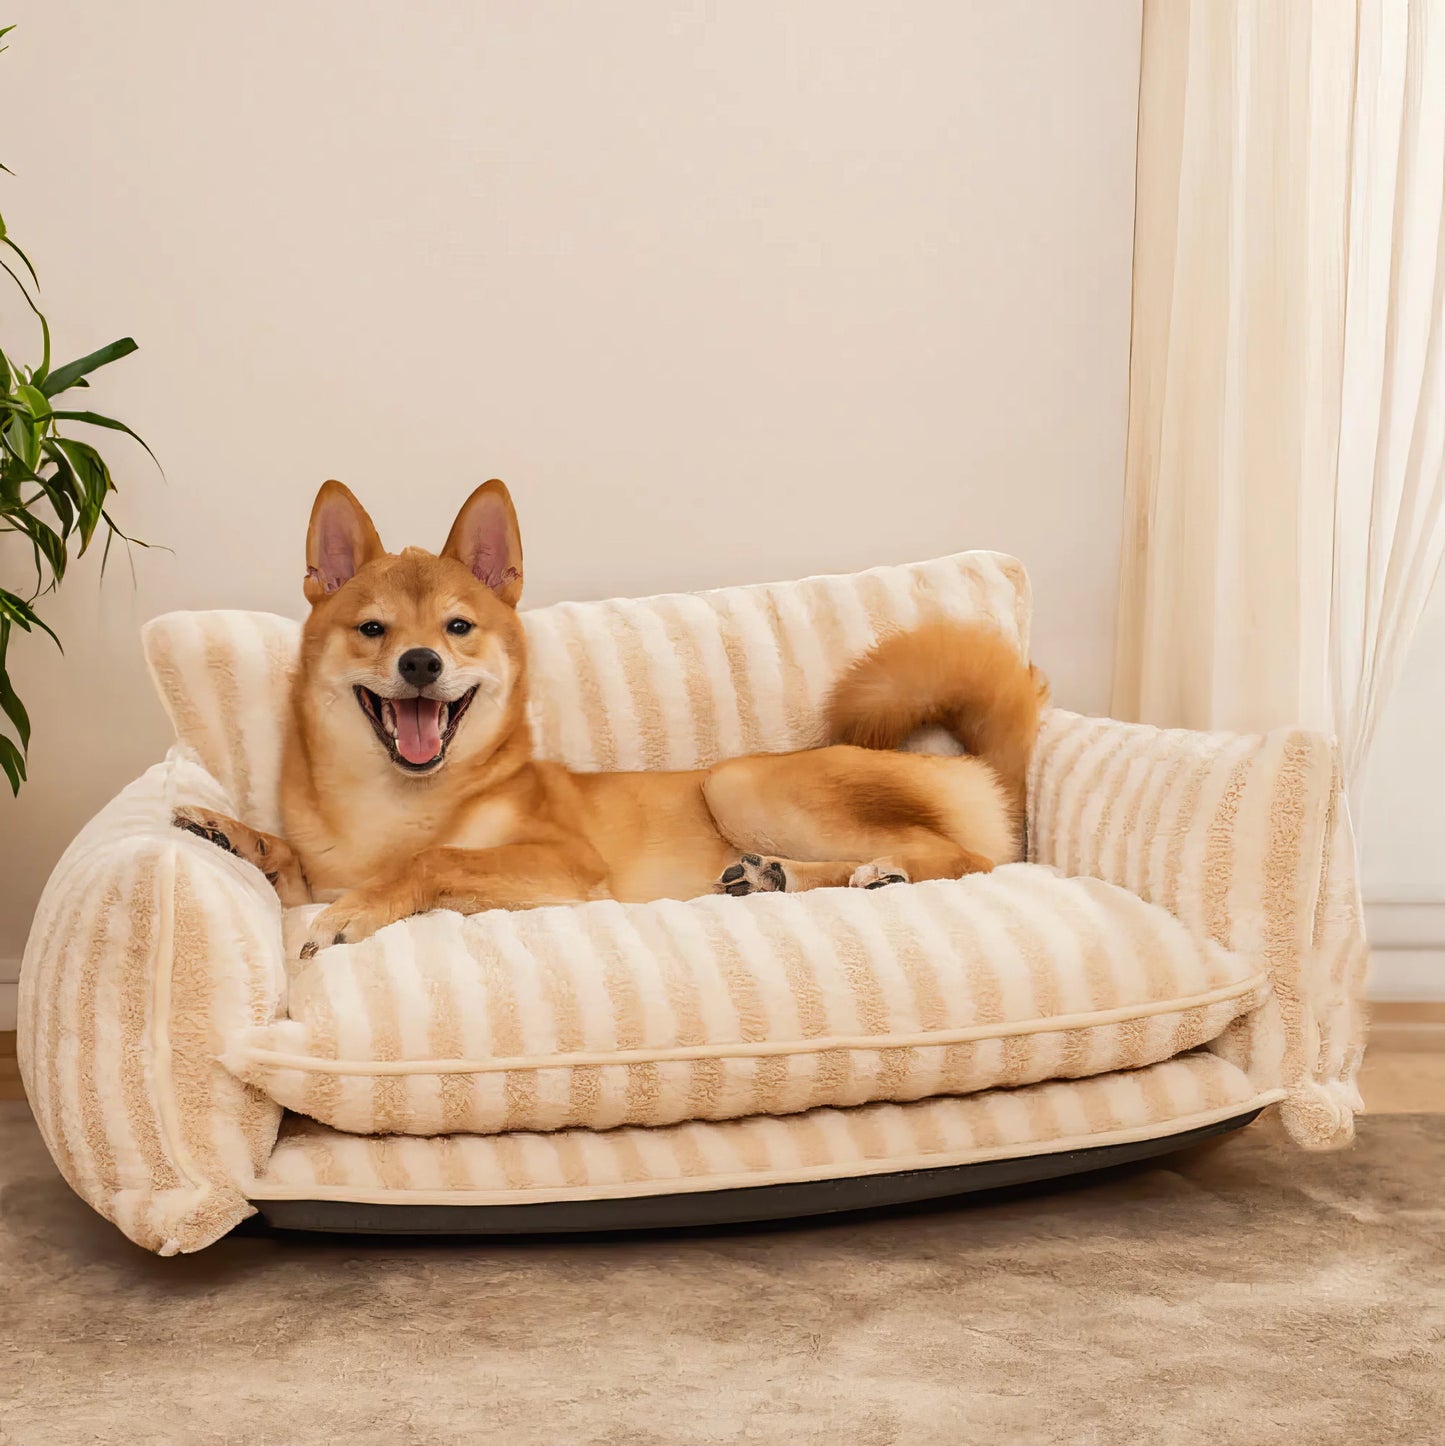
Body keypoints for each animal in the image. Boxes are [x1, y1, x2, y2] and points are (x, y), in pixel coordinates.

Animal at [175, 480, 1047, 954]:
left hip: (741, 784)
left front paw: (359, 910)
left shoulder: (564, 863)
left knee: (962, 856)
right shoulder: (318, 870)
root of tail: (976, 766)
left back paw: (881, 871)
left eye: (457, 627)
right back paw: (775, 876)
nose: (420, 663)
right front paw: (231, 833)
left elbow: (434, 862)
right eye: (371, 629)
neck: (396, 804)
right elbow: (289, 861)